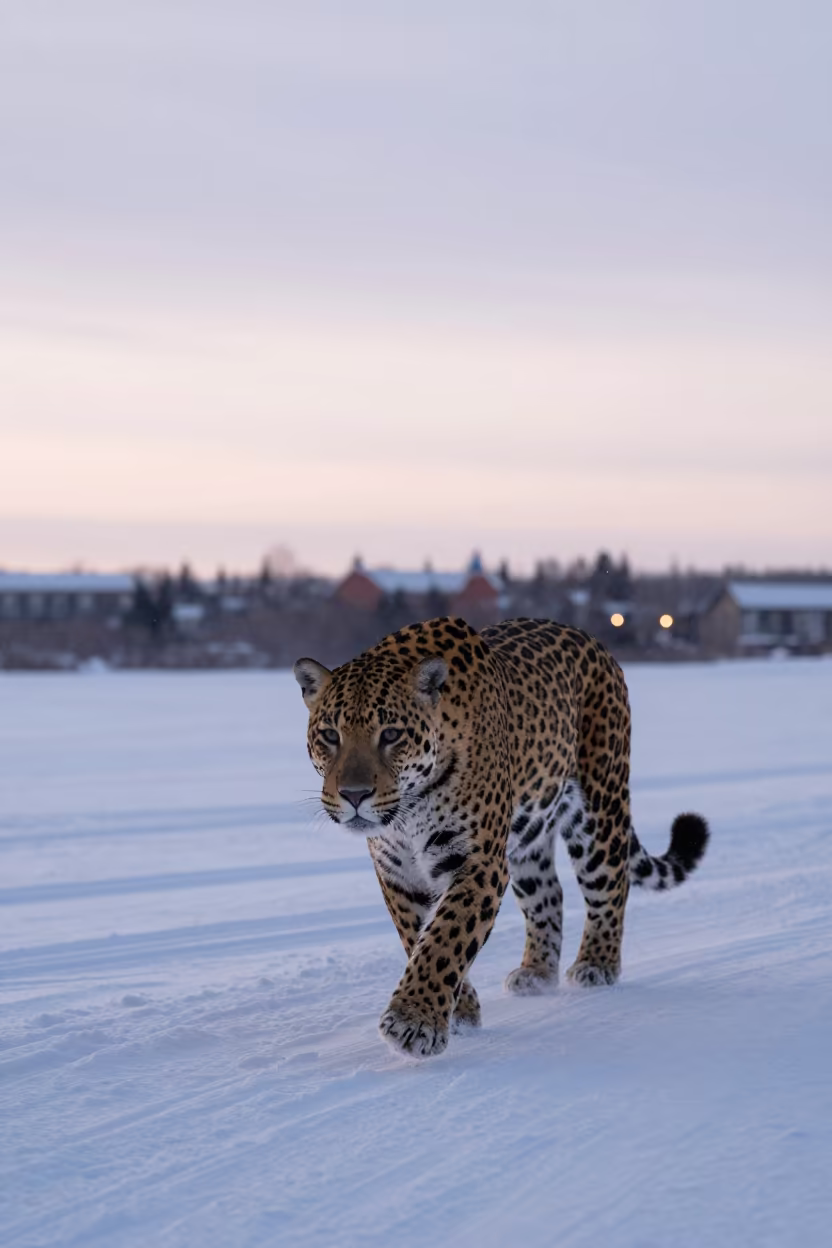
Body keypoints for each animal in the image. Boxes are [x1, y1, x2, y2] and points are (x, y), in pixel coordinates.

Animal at [294, 615, 708, 1059]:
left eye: (391, 735)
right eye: (330, 735)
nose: (354, 795)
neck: (409, 810)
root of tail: (591, 639)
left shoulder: (477, 862)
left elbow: (445, 939)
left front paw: (414, 1022)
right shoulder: (398, 873)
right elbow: (418, 937)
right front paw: (460, 1012)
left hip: (600, 808)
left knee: (612, 885)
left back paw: (597, 965)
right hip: (528, 839)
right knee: (549, 894)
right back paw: (536, 973)